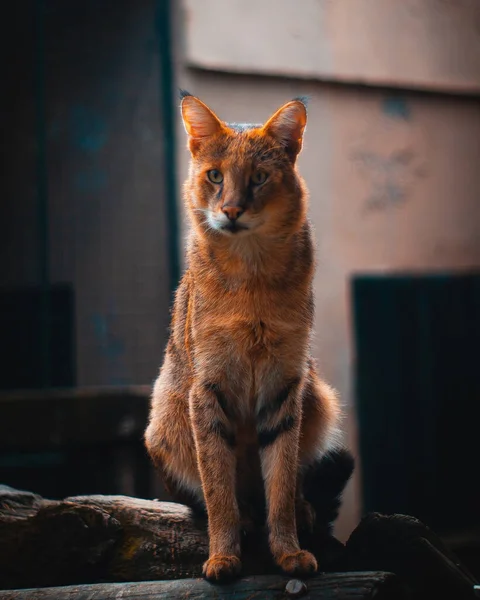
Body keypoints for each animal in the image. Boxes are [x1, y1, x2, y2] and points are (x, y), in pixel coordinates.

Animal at [145, 92, 342, 580]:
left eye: (259, 177)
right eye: (215, 176)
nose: (231, 210)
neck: (251, 274)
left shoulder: (285, 384)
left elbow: (282, 481)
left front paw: (289, 551)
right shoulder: (207, 388)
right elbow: (218, 490)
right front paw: (223, 557)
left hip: (319, 398)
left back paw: (301, 510)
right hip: (165, 415)